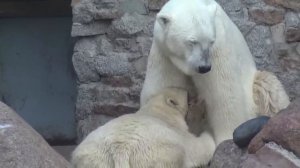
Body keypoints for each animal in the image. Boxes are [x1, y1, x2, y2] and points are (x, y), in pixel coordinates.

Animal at [141, 0, 290, 159]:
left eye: (211, 41)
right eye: (192, 41)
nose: (204, 67)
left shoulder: (218, 51)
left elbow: (223, 96)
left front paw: (225, 140)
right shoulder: (165, 55)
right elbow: (165, 88)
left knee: (269, 87)